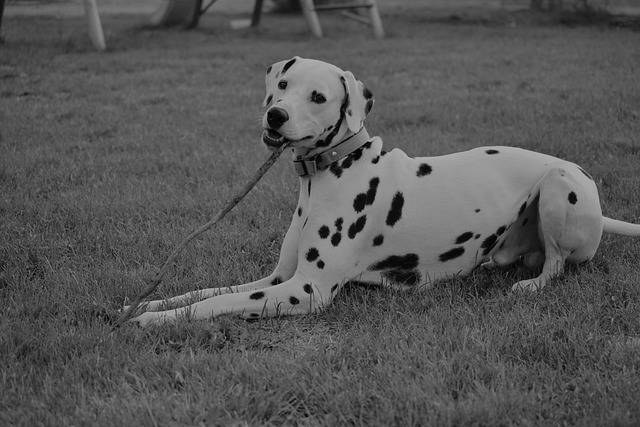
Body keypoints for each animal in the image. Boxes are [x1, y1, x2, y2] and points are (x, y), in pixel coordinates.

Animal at [130, 56, 640, 328]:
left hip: (559, 185)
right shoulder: (278, 278)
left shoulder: (305, 291)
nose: (276, 115)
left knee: (556, 264)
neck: (329, 172)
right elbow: (206, 290)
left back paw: (531, 285)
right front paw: (151, 303)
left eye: (318, 97)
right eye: (282, 84)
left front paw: (154, 321)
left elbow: (214, 304)